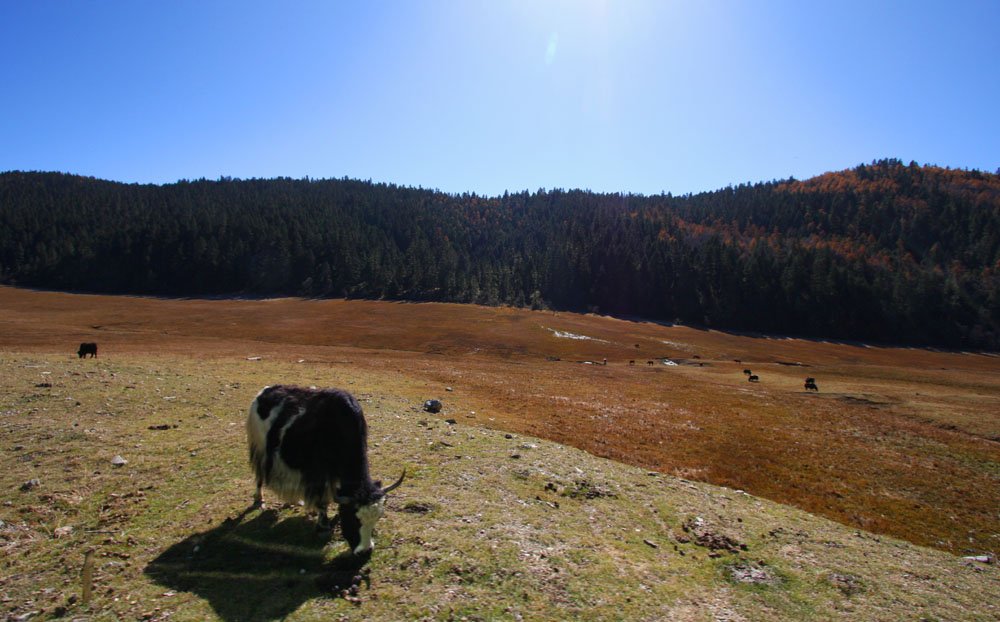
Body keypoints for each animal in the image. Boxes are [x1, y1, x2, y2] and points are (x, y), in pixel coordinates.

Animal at [247, 386, 406, 556]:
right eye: (354, 518)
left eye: (378, 517)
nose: (365, 551)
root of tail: (264, 392)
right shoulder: (318, 472)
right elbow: (322, 499)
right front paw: (323, 527)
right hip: (259, 445)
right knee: (259, 474)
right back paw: (259, 500)